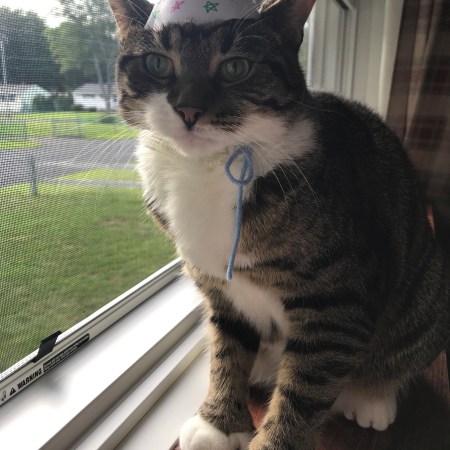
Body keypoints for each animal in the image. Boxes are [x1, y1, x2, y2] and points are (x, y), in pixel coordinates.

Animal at [108, 0, 449, 448]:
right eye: (157, 63)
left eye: (236, 67)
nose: (188, 109)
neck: (210, 166)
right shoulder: (219, 289)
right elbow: (228, 349)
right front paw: (218, 422)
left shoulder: (335, 305)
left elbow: (304, 392)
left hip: (427, 288)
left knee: (396, 356)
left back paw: (373, 399)